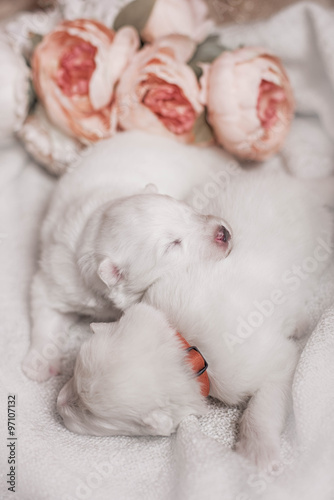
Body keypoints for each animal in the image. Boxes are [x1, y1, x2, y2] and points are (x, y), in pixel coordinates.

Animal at [23, 131, 232, 380]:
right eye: (172, 245)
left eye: (189, 211)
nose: (224, 233)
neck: (91, 236)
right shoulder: (61, 273)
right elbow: (46, 306)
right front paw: (39, 365)